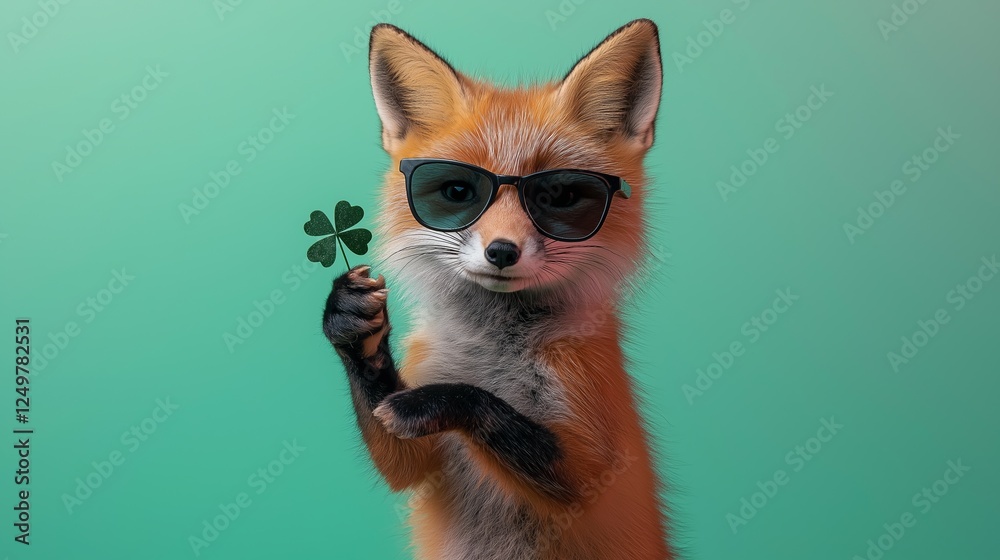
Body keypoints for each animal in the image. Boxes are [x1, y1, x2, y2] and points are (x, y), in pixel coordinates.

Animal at [322, 19, 671, 560]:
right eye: (457, 192)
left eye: (559, 196)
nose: (501, 252)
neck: (493, 351)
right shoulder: (424, 458)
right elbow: (402, 457)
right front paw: (350, 323)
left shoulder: (595, 462)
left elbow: (485, 407)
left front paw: (431, 403)